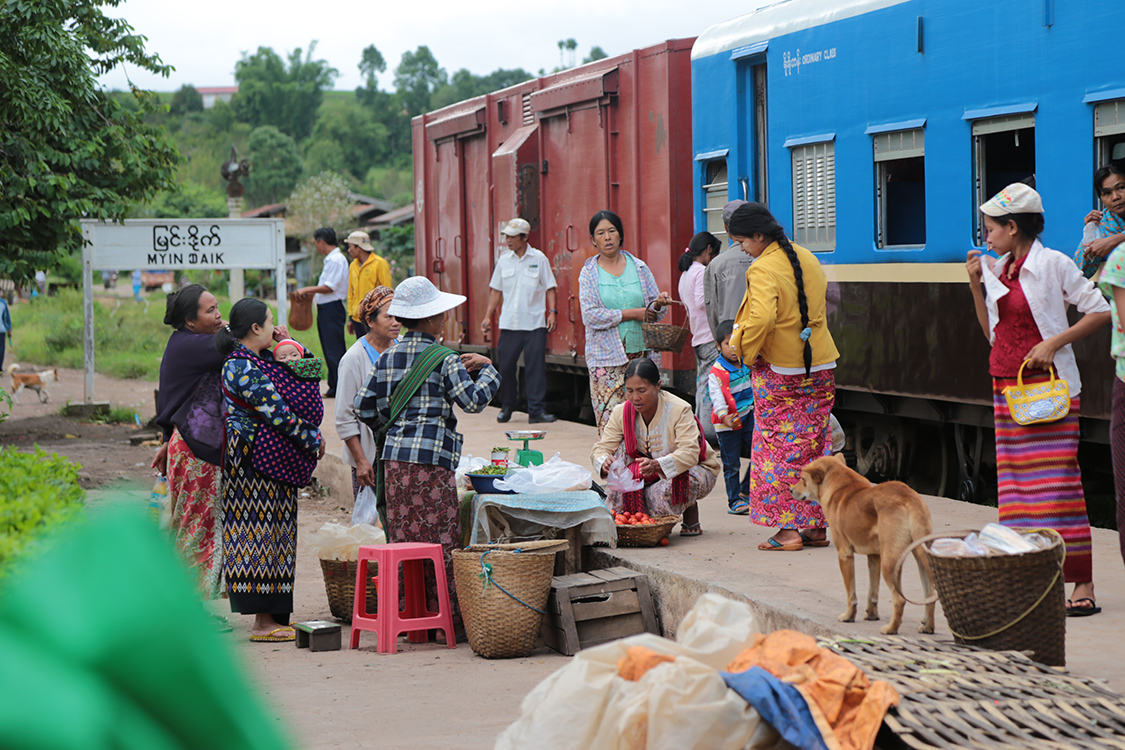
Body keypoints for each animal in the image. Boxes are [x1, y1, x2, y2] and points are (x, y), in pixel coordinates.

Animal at [792, 454, 940, 638]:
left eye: (802, 479)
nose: (791, 490)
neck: (840, 487)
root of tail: (908, 497)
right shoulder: (874, 556)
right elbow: (872, 592)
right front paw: (871, 615)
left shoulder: (845, 554)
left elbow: (851, 593)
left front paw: (848, 616)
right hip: (921, 558)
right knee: (930, 594)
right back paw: (928, 626)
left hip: (890, 563)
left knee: (899, 599)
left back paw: (891, 628)